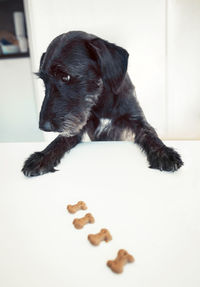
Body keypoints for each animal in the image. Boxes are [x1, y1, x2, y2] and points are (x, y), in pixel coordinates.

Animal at [21, 30, 183, 177]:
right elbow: (60, 140)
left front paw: (164, 152)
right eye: (44, 81)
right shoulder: (77, 127)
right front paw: (42, 157)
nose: (44, 126)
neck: (102, 102)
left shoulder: (136, 119)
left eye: (65, 76)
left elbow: (150, 133)